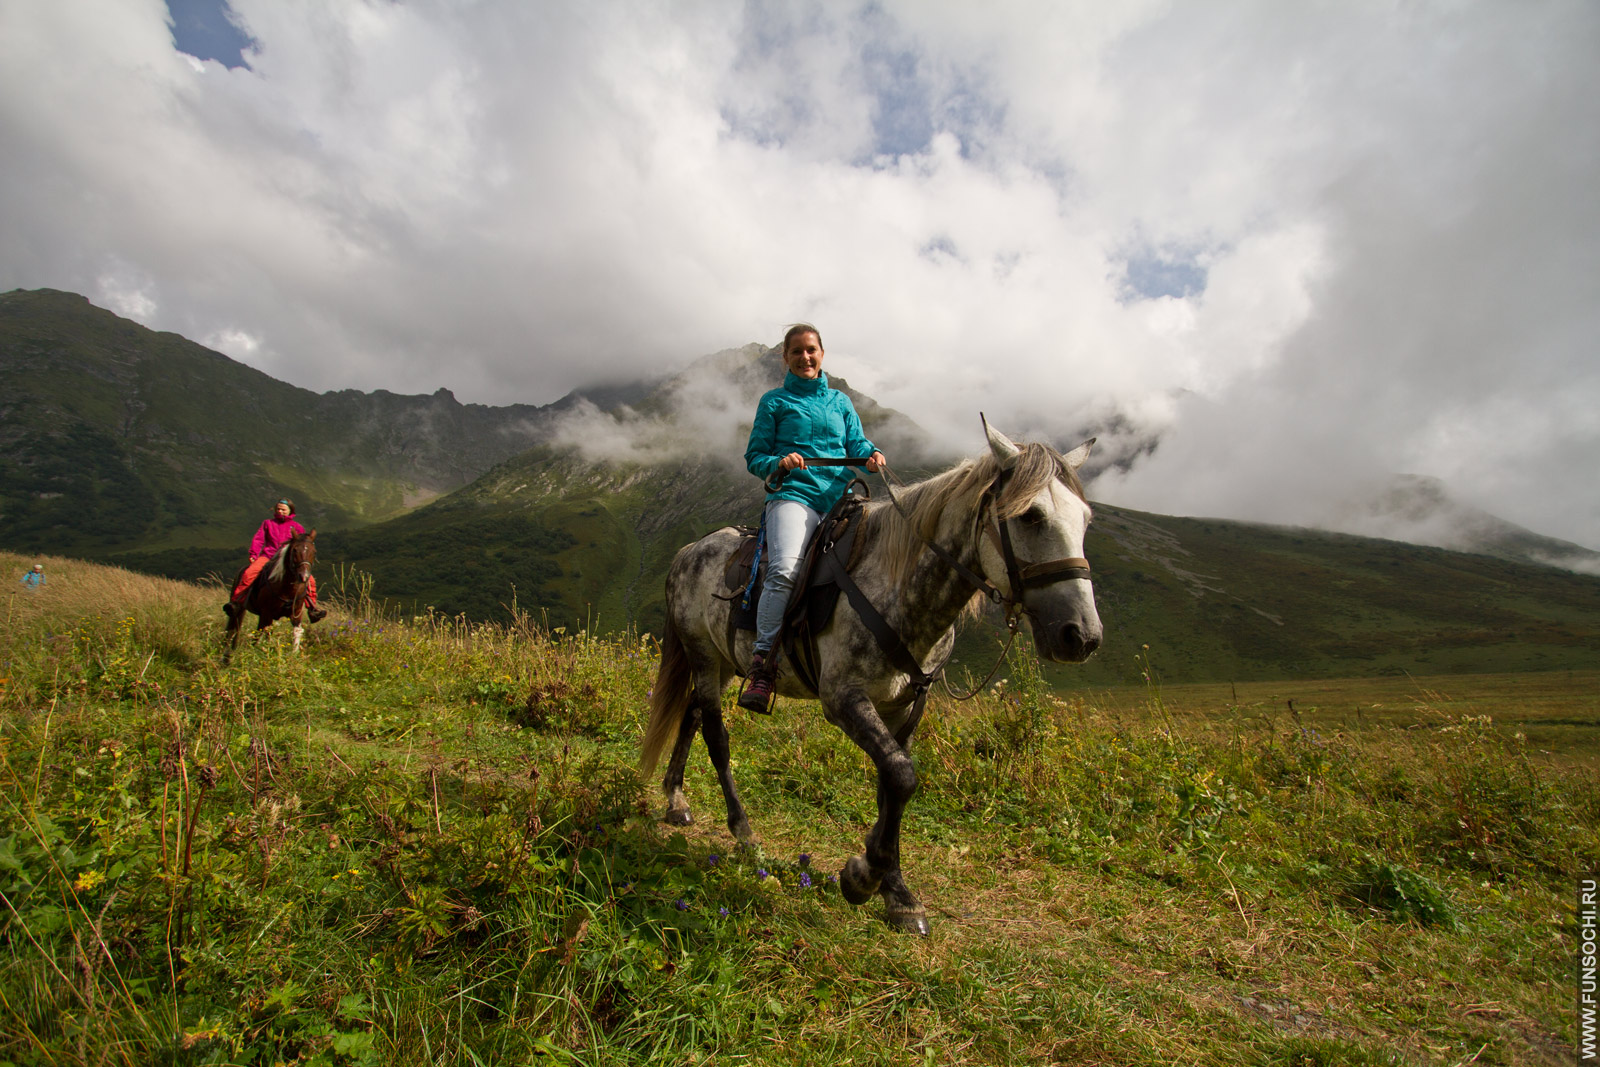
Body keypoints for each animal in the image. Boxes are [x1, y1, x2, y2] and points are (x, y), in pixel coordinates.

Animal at [224, 531, 316, 662]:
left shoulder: (296, 613)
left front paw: (293, 656)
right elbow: (266, 634)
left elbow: (297, 632)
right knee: (232, 629)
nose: (304, 576)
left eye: (314, 552)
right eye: (294, 550)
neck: (287, 588)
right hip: (240, 609)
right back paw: (227, 655)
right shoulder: (267, 613)